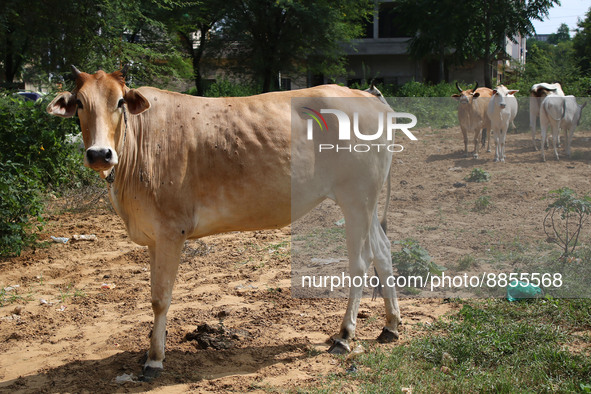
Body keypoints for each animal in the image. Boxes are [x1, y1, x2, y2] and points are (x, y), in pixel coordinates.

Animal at [48, 67, 404, 378]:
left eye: (120, 102)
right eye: (80, 103)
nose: (99, 154)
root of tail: (367, 96)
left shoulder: (170, 231)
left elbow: (161, 297)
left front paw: (154, 359)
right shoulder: (153, 236)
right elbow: (154, 295)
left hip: (356, 197)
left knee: (360, 262)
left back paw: (344, 336)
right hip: (367, 202)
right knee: (383, 252)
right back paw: (390, 326)